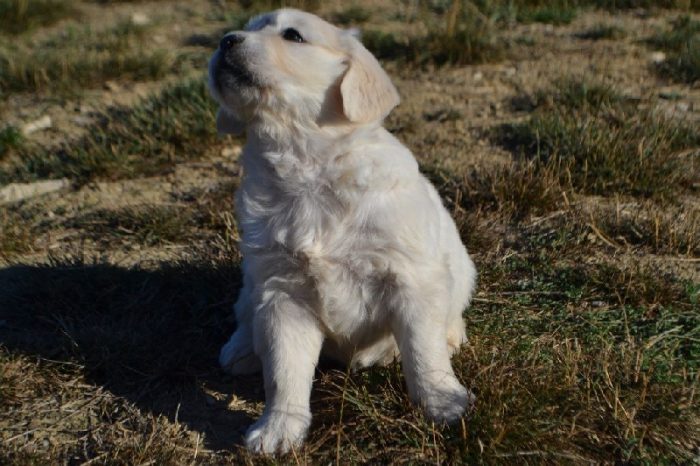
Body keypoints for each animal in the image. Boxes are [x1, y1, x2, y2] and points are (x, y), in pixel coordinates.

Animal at [208, 8, 478, 456]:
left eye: (293, 35)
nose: (225, 40)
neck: (310, 166)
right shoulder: (283, 291)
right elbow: (283, 369)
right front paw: (279, 427)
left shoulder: (411, 277)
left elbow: (423, 350)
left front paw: (444, 402)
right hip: (253, 280)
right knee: (246, 314)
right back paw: (241, 348)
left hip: (462, 267)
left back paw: (452, 335)